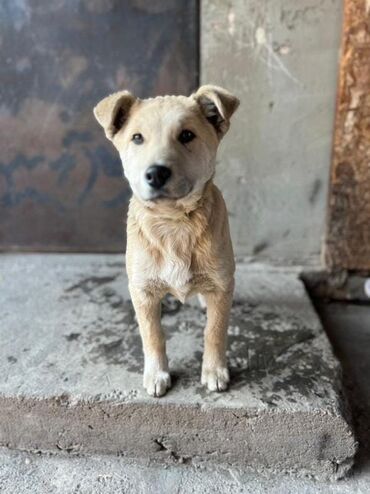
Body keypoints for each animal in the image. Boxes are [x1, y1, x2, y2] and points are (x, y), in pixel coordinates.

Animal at [94, 85, 240, 398]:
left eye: (186, 135)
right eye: (137, 137)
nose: (156, 173)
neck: (174, 224)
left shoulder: (222, 285)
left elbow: (214, 331)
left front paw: (214, 370)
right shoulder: (143, 291)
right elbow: (152, 334)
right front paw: (157, 374)